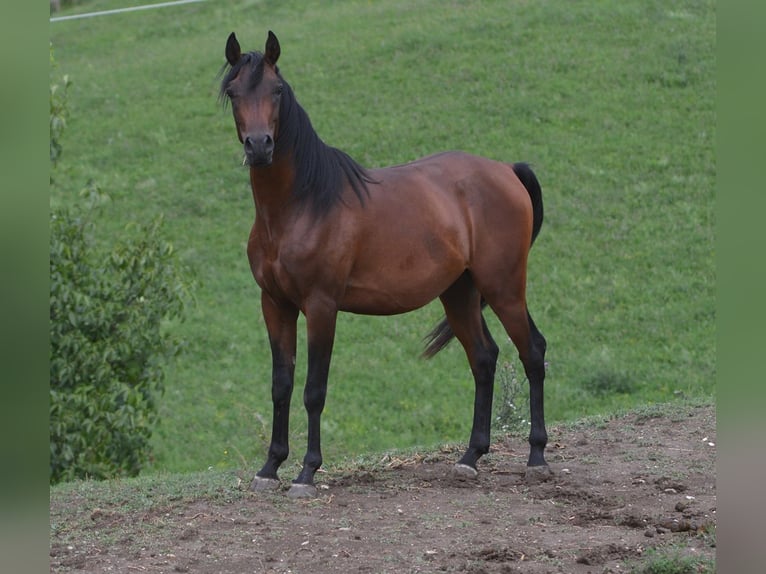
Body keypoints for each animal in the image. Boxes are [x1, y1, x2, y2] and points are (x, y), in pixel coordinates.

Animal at [220, 31, 551, 498]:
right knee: (485, 359)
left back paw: (537, 457)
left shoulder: (321, 306)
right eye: (234, 92)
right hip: (460, 292)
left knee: (532, 352)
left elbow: (314, 390)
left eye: (277, 90)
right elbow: (281, 385)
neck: (302, 204)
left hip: (504, 287)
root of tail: (506, 169)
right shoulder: (275, 304)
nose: (259, 146)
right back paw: (470, 458)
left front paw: (307, 472)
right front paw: (270, 468)